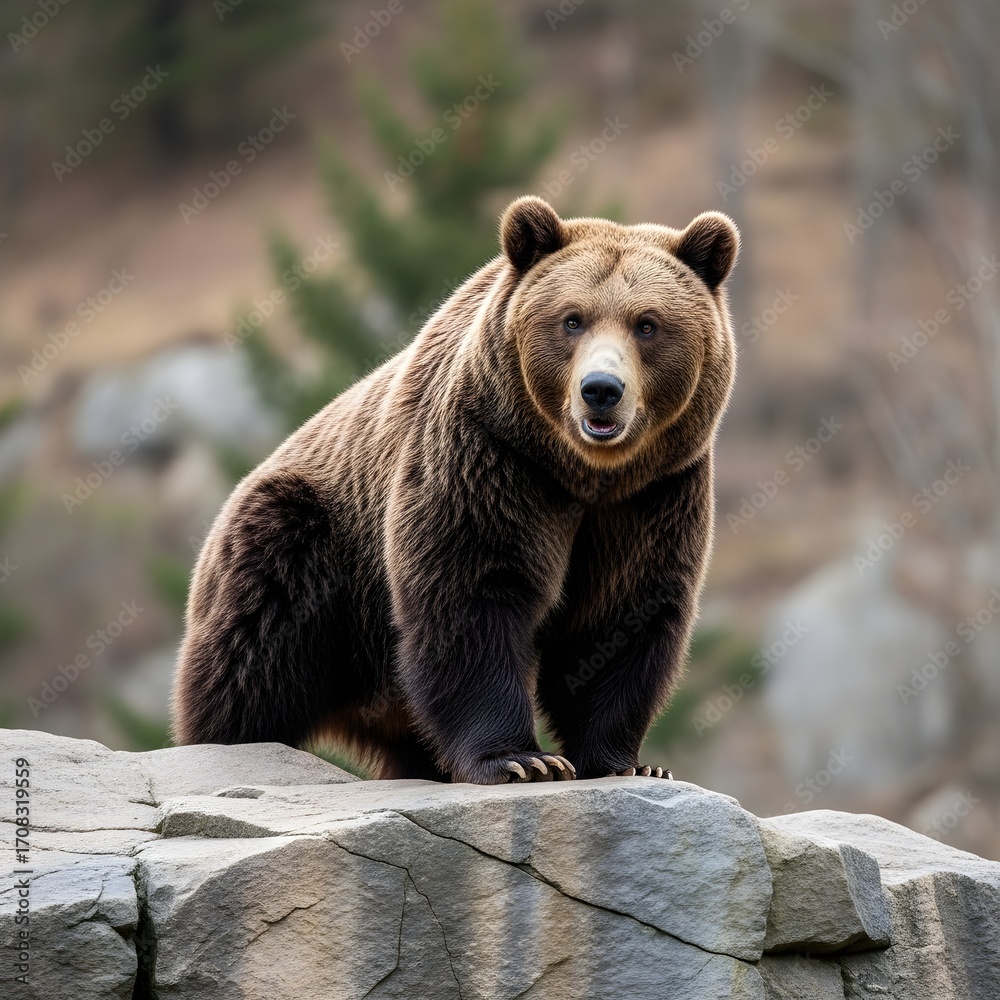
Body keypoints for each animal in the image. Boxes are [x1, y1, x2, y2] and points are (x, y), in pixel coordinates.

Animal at [171, 195, 739, 784]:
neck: (582, 473)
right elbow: (470, 591)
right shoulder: (488, 459)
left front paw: (627, 764)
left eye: (647, 324)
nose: (601, 390)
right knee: (253, 655)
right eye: (572, 319)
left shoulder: (654, 495)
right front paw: (522, 759)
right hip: (309, 549)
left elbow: (622, 616)